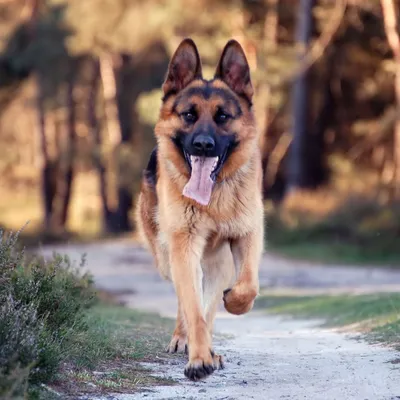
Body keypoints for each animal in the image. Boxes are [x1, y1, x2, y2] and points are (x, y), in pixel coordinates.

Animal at [136, 38, 264, 382]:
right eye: (189, 114)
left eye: (223, 117)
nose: (203, 145)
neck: (214, 201)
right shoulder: (184, 247)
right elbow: (192, 308)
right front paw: (198, 359)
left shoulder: (248, 235)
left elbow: (248, 286)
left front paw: (235, 303)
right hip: (168, 258)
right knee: (186, 301)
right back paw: (188, 342)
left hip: (217, 265)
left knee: (210, 302)